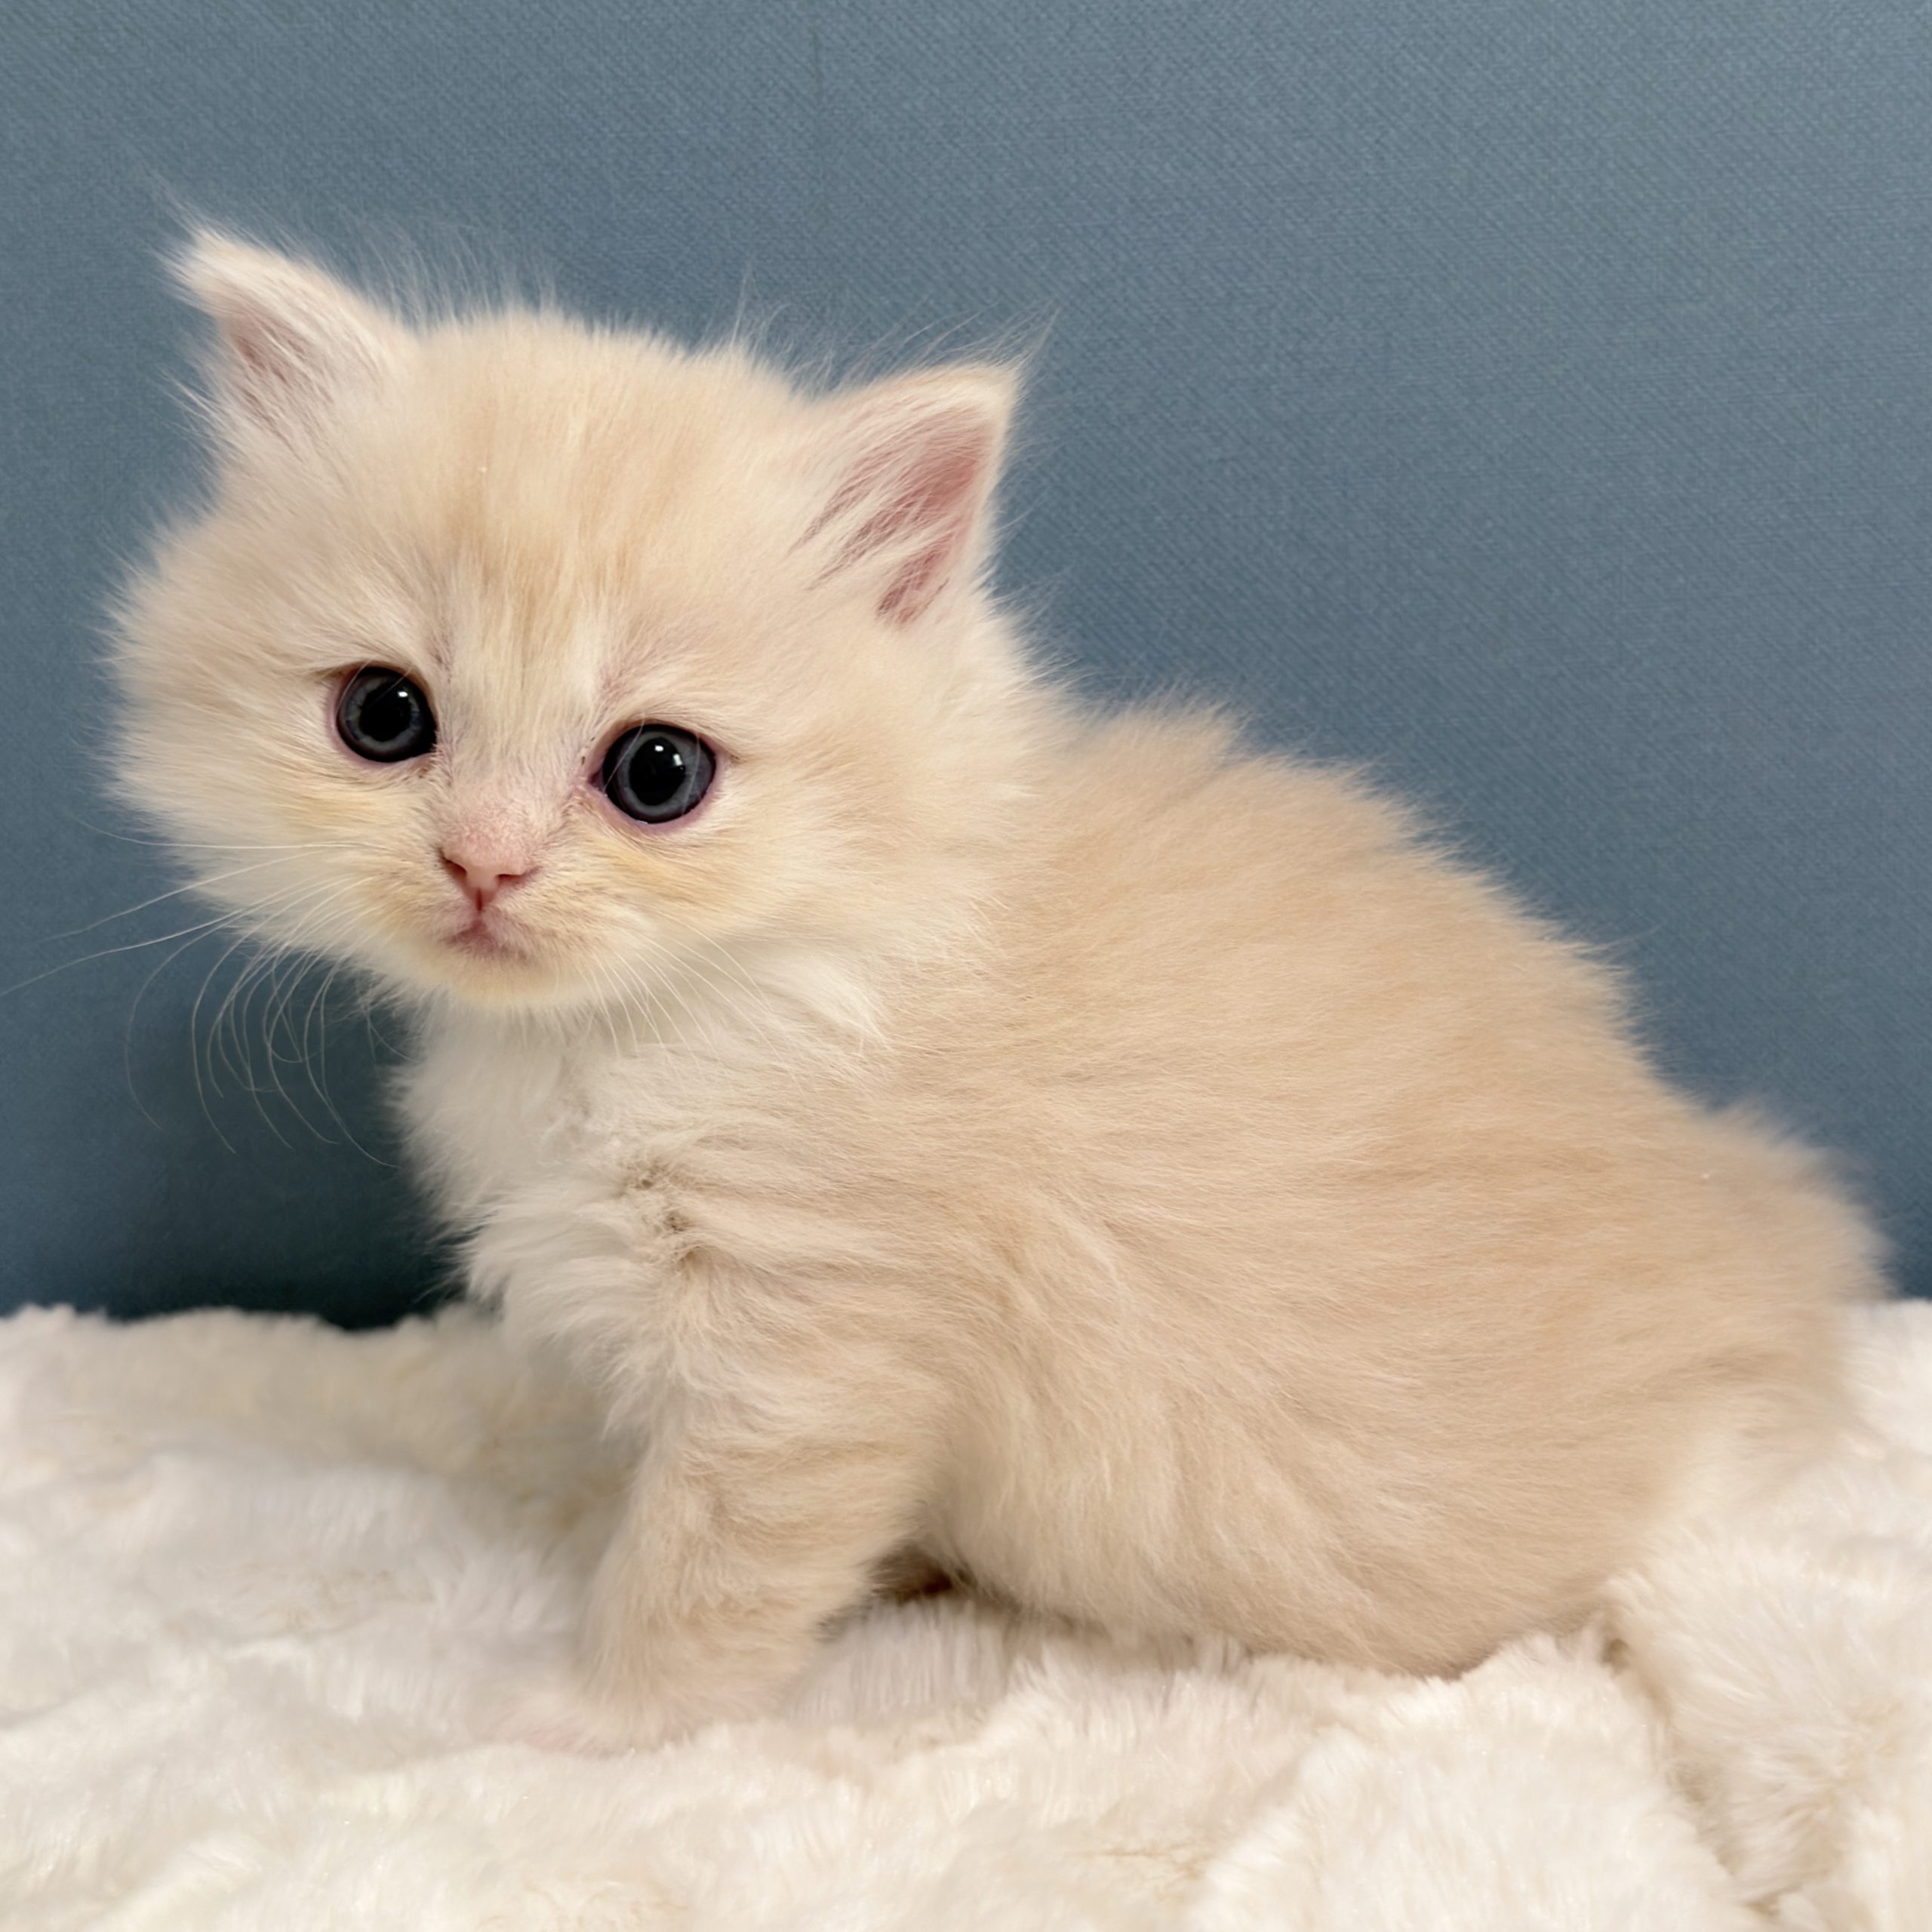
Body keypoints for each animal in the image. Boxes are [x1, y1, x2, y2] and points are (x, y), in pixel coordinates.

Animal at [113, 231, 1883, 1750]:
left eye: (657, 773)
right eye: (384, 718)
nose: (483, 867)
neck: (720, 1005)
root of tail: (1765, 1258)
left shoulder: (811, 1355)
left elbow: (700, 1573)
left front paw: (584, 1721)